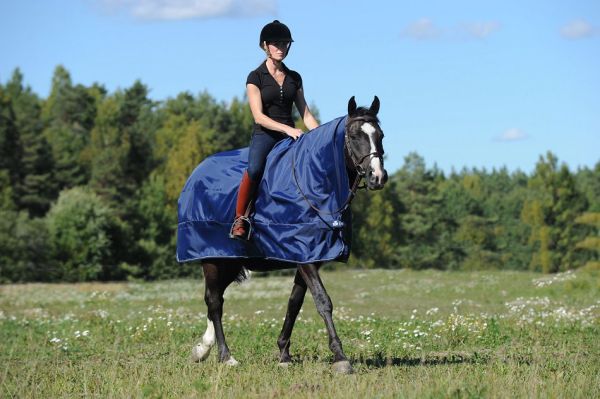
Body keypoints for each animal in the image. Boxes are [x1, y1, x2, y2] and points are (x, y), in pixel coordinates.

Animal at [183, 97, 386, 376]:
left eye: (380, 136)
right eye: (355, 136)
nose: (378, 177)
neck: (314, 181)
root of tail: (196, 175)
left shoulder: (309, 256)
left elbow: (295, 302)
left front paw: (283, 353)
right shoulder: (305, 256)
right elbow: (323, 301)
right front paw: (340, 357)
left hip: (230, 261)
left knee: (215, 299)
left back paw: (202, 348)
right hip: (212, 259)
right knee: (214, 302)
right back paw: (225, 356)